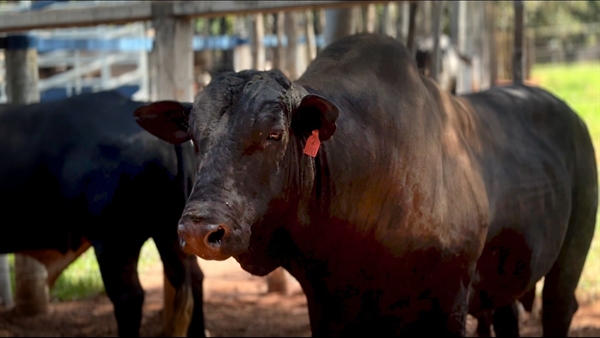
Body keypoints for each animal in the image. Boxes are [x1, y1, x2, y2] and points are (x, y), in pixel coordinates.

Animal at [134, 33, 596, 336]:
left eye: (274, 134)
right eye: (195, 137)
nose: (199, 230)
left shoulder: (449, 305)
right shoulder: (327, 306)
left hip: (572, 253)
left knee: (559, 306)